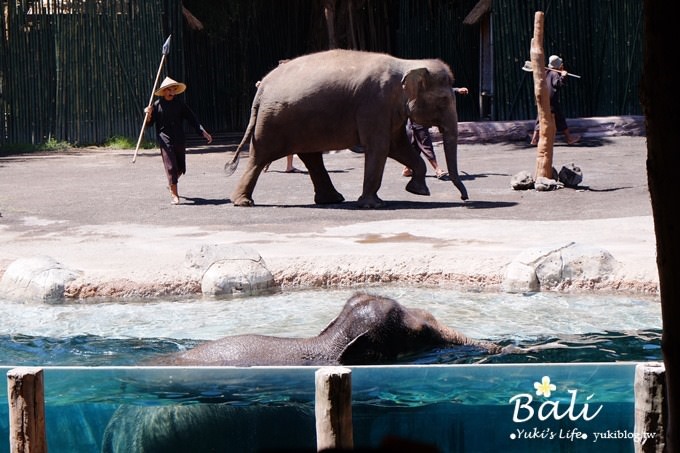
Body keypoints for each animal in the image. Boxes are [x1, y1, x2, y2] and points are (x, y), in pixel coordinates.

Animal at [227, 48, 468, 208]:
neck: (408, 64)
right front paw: (372, 204)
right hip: (273, 121)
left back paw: (332, 199)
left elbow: (397, 147)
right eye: (443, 101)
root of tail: (262, 86)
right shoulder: (375, 104)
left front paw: (418, 191)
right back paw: (243, 202)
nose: (465, 198)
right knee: (260, 157)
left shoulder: (389, 112)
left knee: (311, 157)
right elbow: (380, 147)